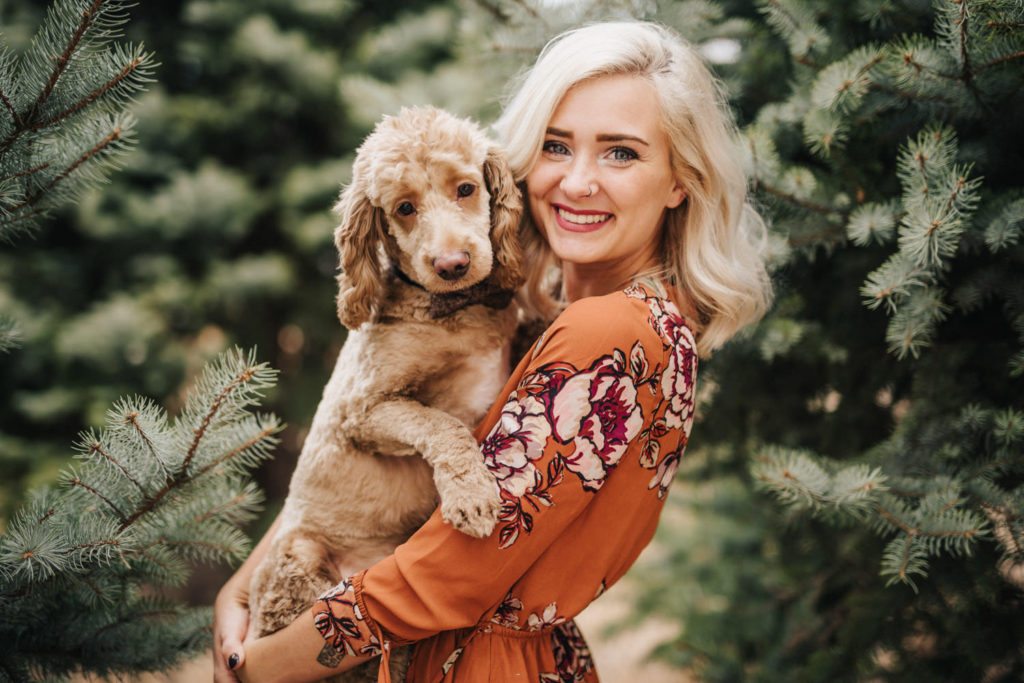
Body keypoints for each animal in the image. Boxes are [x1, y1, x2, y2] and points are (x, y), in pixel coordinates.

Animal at [244, 107, 524, 679]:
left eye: (466, 189)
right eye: (404, 209)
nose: (452, 265)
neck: (457, 310)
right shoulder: (364, 410)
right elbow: (442, 422)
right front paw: (472, 496)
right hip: (297, 565)